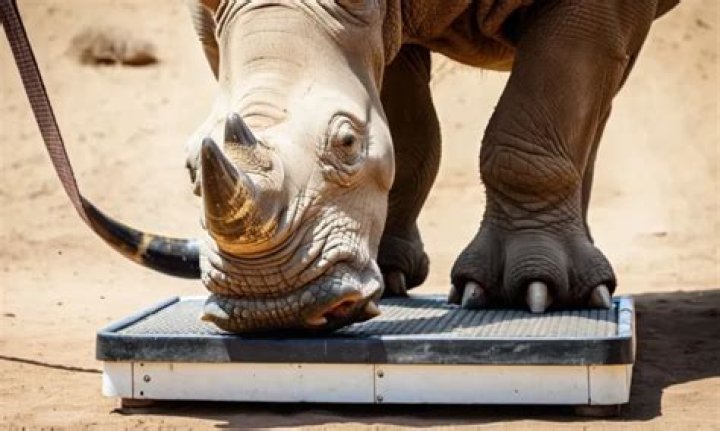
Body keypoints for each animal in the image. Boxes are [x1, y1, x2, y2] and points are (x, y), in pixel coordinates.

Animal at [92, 0, 679, 333]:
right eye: (191, 165)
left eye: (348, 142)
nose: (269, 306)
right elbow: (409, 134)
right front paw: (385, 274)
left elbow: (538, 108)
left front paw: (533, 293)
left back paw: (574, 290)